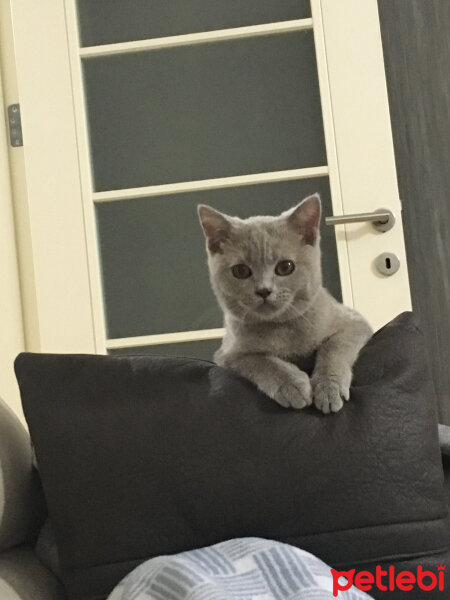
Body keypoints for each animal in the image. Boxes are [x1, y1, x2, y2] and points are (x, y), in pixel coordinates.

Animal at [198, 195, 372, 414]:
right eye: (241, 271)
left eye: (285, 267)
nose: (264, 290)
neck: (282, 328)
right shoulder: (227, 354)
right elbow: (259, 360)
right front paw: (292, 385)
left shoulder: (354, 323)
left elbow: (333, 347)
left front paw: (328, 387)